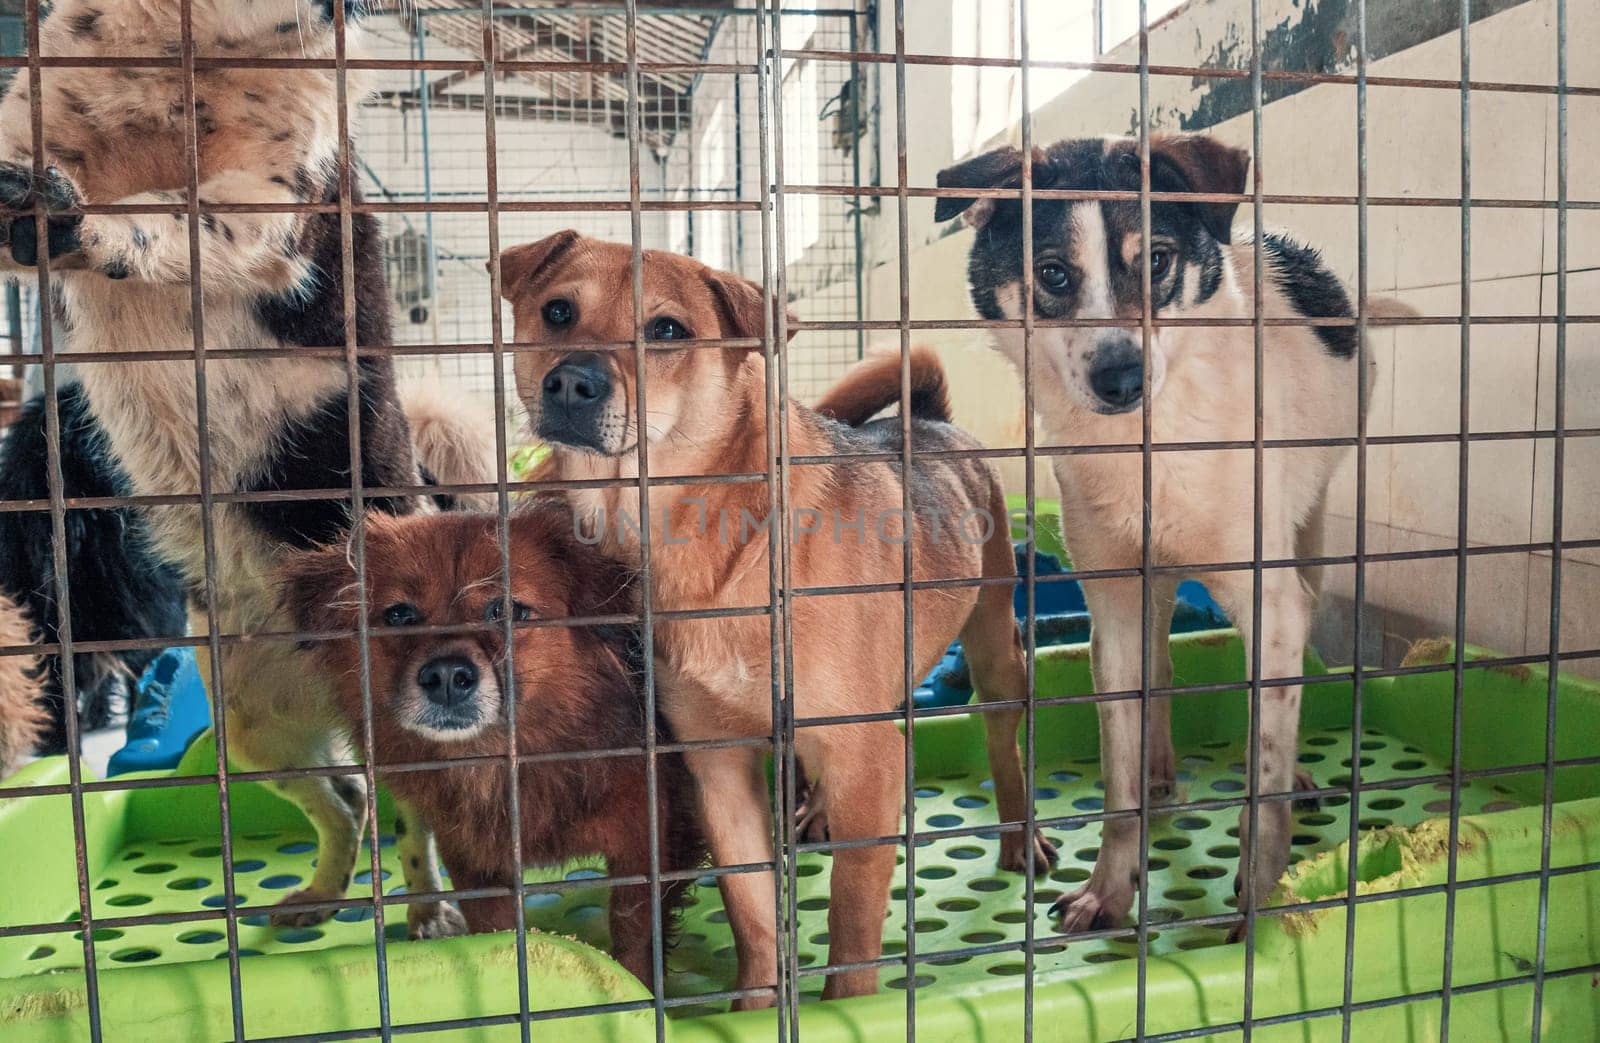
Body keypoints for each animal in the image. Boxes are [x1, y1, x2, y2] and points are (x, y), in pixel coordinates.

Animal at [278, 508, 704, 991]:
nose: (446, 676)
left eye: (507, 610)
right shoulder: (472, 862)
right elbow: (495, 936)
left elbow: (634, 934)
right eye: (399, 615)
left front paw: (641, 990)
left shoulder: (646, 841)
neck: (501, 761)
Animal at [934, 130, 1408, 934]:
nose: (1122, 378)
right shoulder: (1115, 606)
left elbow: (1263, 775)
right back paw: (1160, 770)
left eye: (1156, 259)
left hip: (1308, 533)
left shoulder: (1269, 602)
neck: (1150, 446)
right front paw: (1110, 887)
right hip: (1150, 592)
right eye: (1053, 273)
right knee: (1158, 671)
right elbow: (1119, 780)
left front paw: (1261, 901)